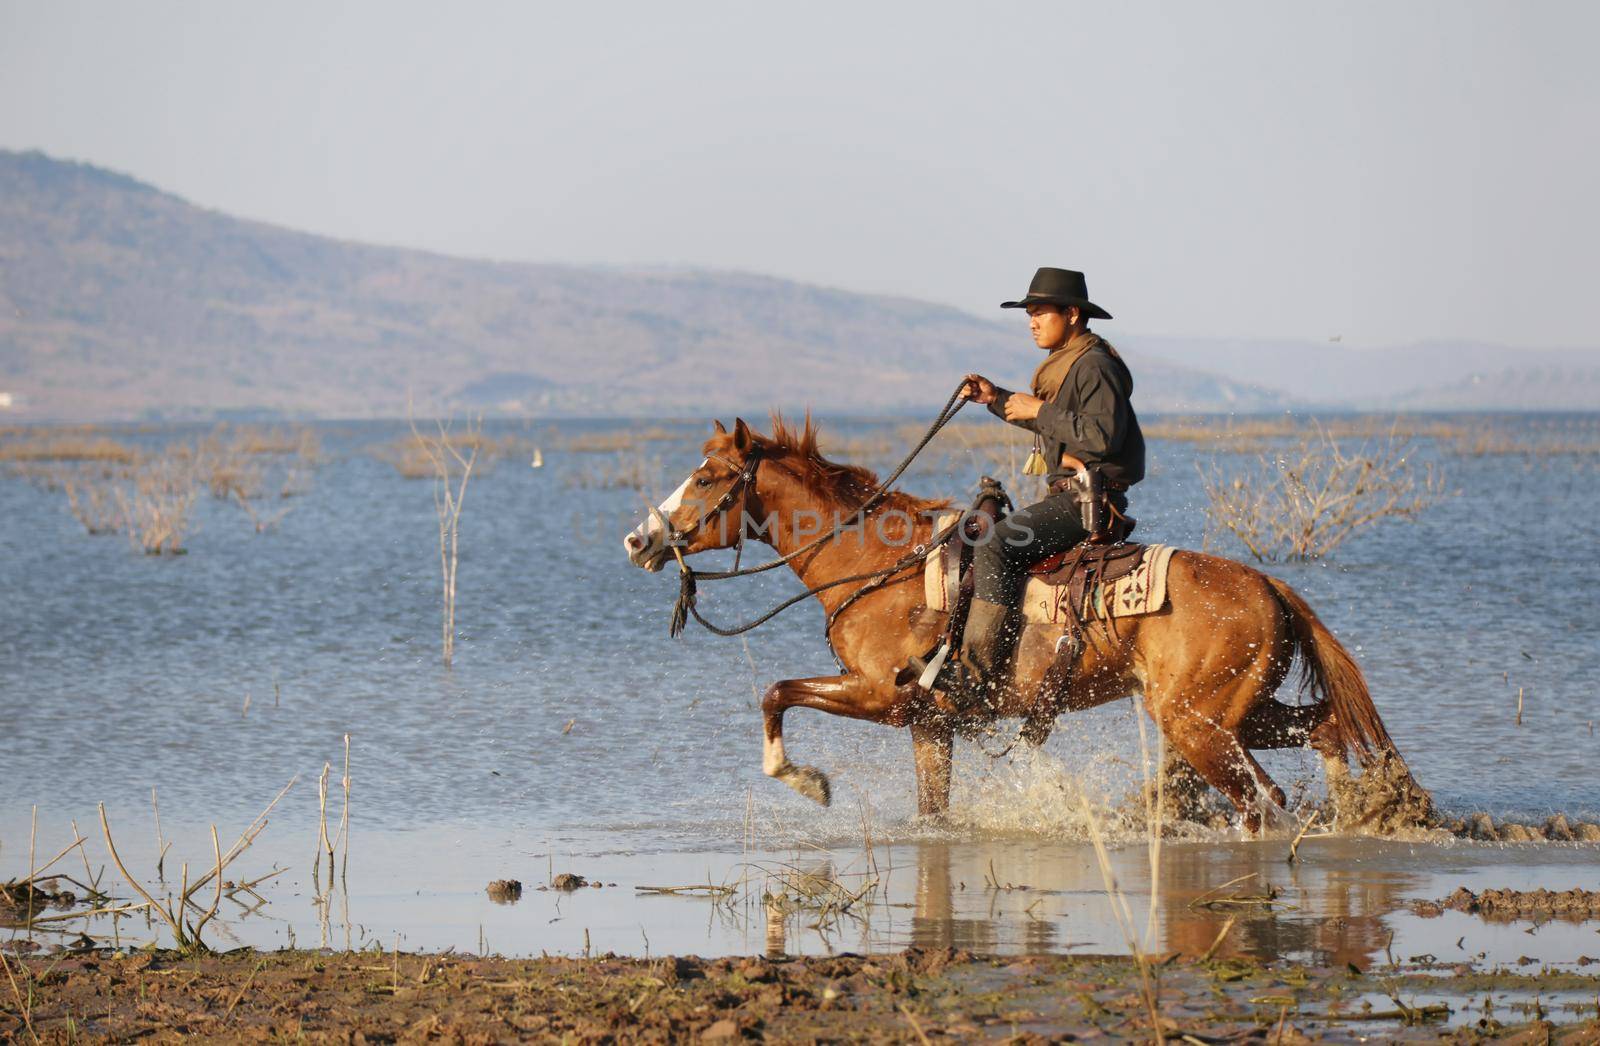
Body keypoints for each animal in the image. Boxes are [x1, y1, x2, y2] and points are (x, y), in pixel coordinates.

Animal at [624, 419, 1427, 838]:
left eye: (705, 477)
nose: (640, 540)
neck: (875, 564)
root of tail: (1268, 585)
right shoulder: (931, 724)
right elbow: (933, 813)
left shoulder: (887, 697)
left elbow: (776, 692)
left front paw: (808, 781)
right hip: (1235, 711)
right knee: (1324, 729)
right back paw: (1361, 814)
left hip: (1199, 724)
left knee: (1263, 801)